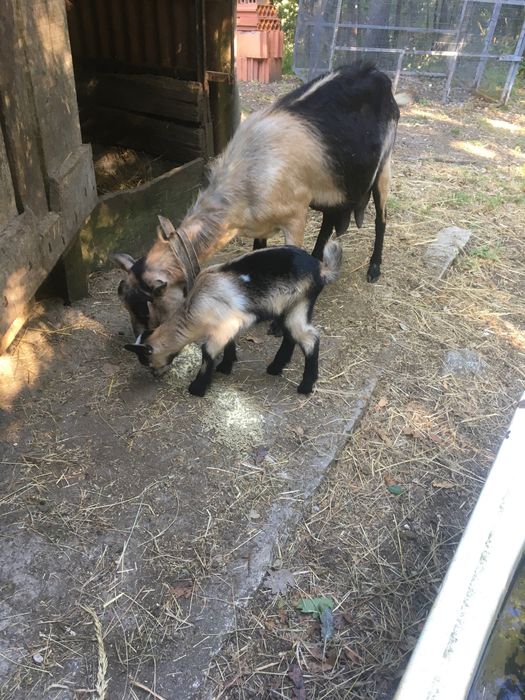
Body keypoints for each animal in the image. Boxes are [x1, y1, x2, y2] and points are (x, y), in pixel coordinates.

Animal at [113, 62, 400, 336]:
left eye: (145, 308)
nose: (140, 341)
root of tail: (377, 73)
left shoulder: (296, 216)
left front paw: (279, 325)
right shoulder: (260, 224)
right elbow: (257, 253)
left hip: (383, 167)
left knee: (381, 219)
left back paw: (374, 268)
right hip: (334, 186)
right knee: (329, 220)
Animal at [123, 240, 342, 397]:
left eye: (146, 361)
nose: (155, 375)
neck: (194, 308)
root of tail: (321, 268)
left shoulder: (223, 326)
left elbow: (207, 352)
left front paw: (197, 388)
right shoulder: (227, 326)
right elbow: (228, 344)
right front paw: (226, 366)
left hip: (299, 303)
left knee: (310, 338)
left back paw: (305, 386)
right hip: (290, 308)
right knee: (291, 335)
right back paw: (275, 367)